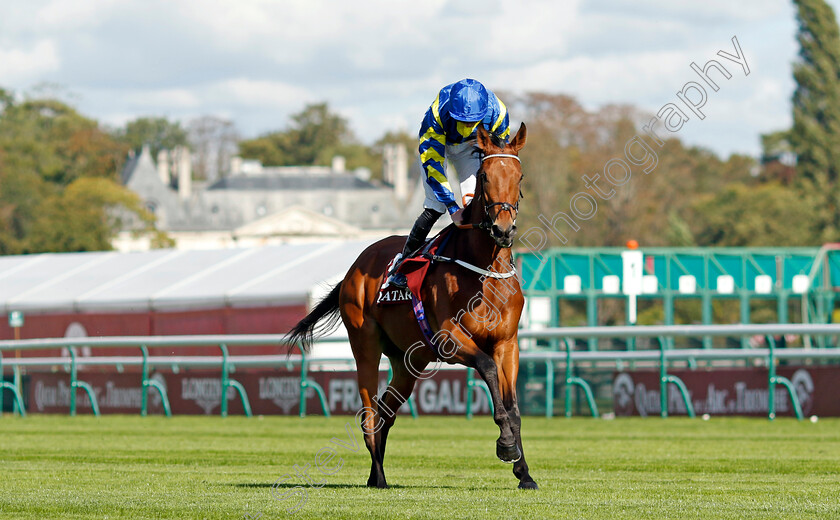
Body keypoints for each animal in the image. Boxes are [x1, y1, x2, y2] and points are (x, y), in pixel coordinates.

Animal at [288, 124, 540, 490]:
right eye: (484, 176)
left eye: (519, 176)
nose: (502, 229)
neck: (484, 269)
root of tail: (354, 267)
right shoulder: (448, 339)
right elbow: (488, 371)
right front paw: (505, 445)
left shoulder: (507, 343)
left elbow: (514, 406)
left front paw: (524, 473)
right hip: (365, 346)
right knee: (369, 414)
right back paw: (378, 477)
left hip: (409, 360)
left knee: (386, 412)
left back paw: (374, 475)